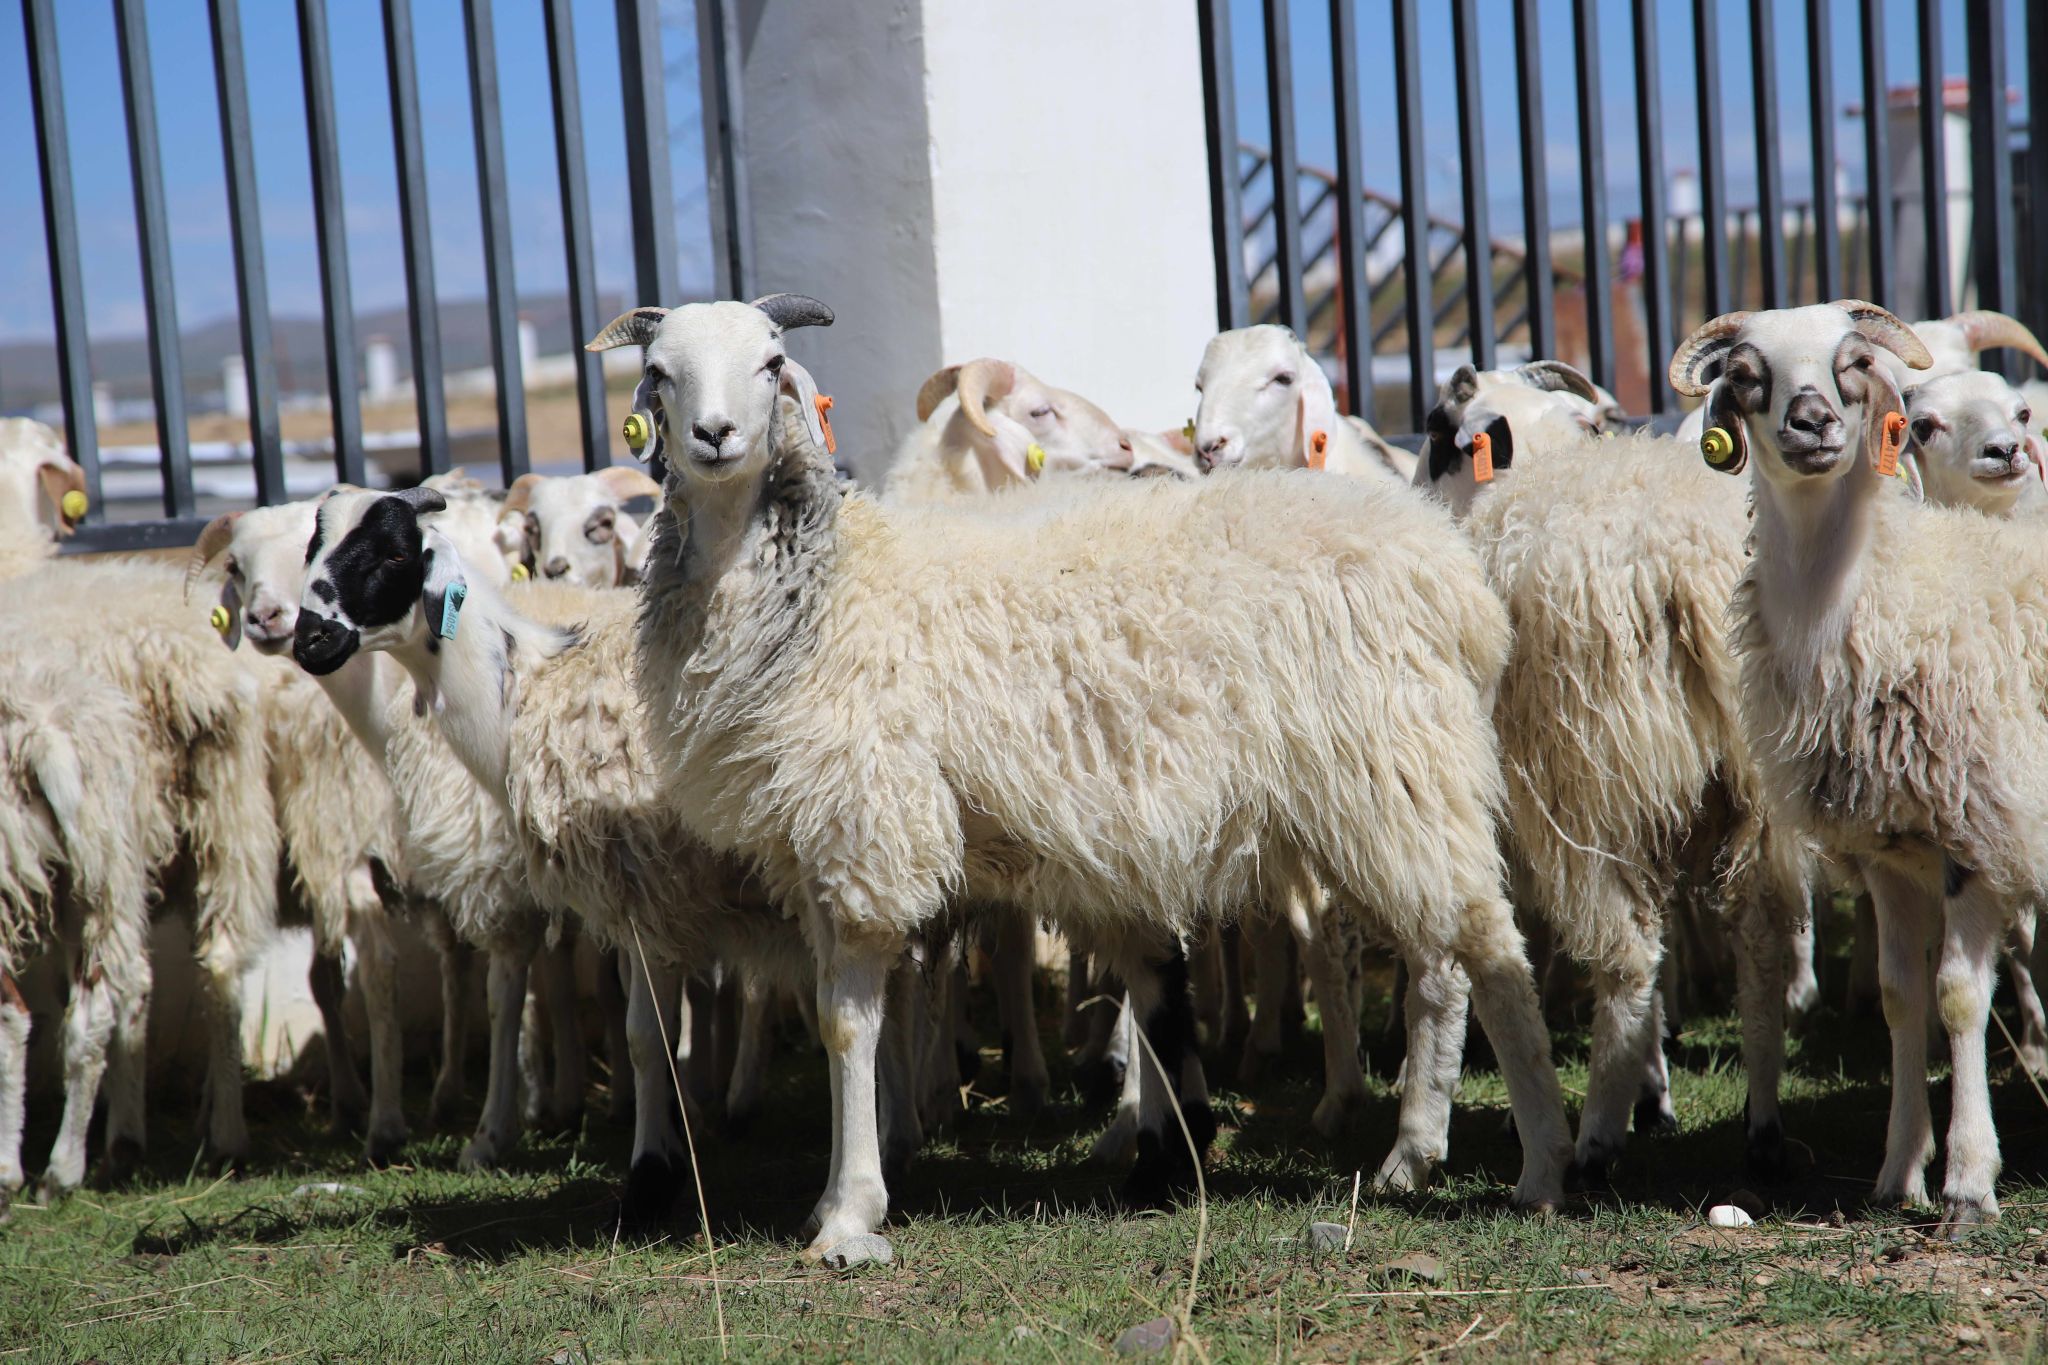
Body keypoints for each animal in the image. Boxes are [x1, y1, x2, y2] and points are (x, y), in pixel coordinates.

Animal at [291, 486, 815, 1224]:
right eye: (314, 546)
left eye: (393, 553)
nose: (310, 639)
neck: (528, 686)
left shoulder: (648, 889)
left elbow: (645, 1037)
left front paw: (650, 1177)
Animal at [1669, 298, 2048, 1233]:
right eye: (1747, 374)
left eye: (1853, 365)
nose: (1811, 423)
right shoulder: (1891, 851)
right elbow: (1899, 995)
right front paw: (1899, 1170)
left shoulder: (1977, 831)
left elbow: (1957, 995)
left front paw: (1968, 1179)